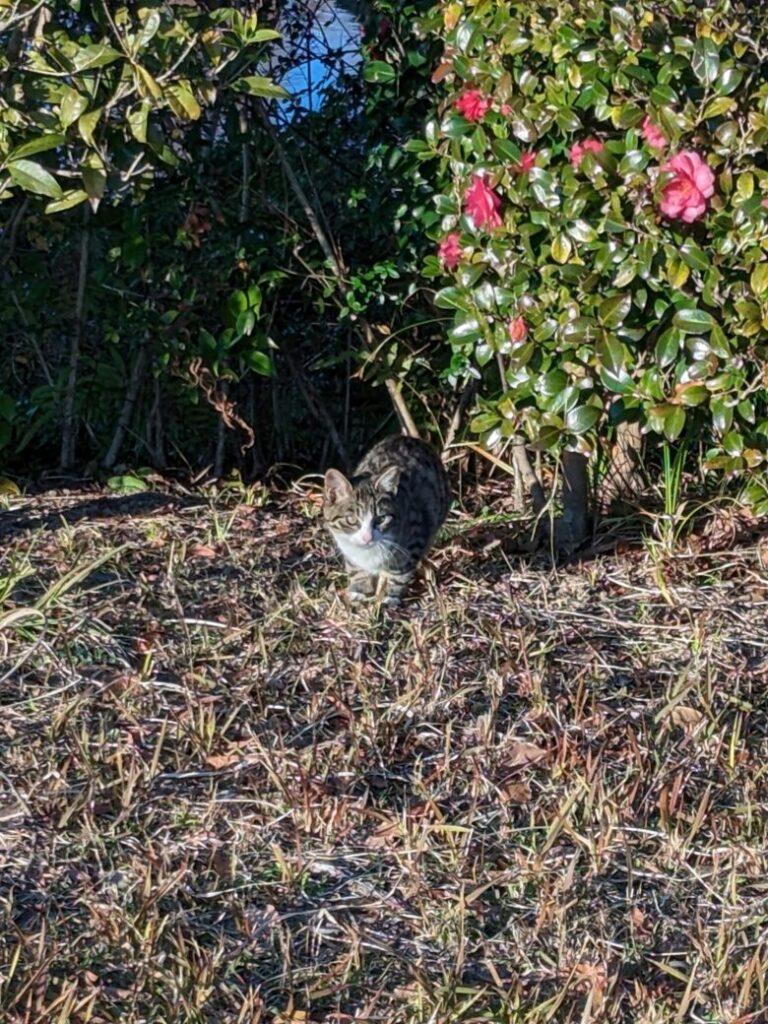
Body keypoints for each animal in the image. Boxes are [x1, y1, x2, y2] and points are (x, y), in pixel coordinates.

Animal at [323, 436, 450, 602]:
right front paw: (360, 589)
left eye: (381, 519)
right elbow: (355, 568)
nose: (368, 538)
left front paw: (390, 595)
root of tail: (410, 438)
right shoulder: (348, 547)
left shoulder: (415, 535)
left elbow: (401, 570)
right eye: (351, 520)